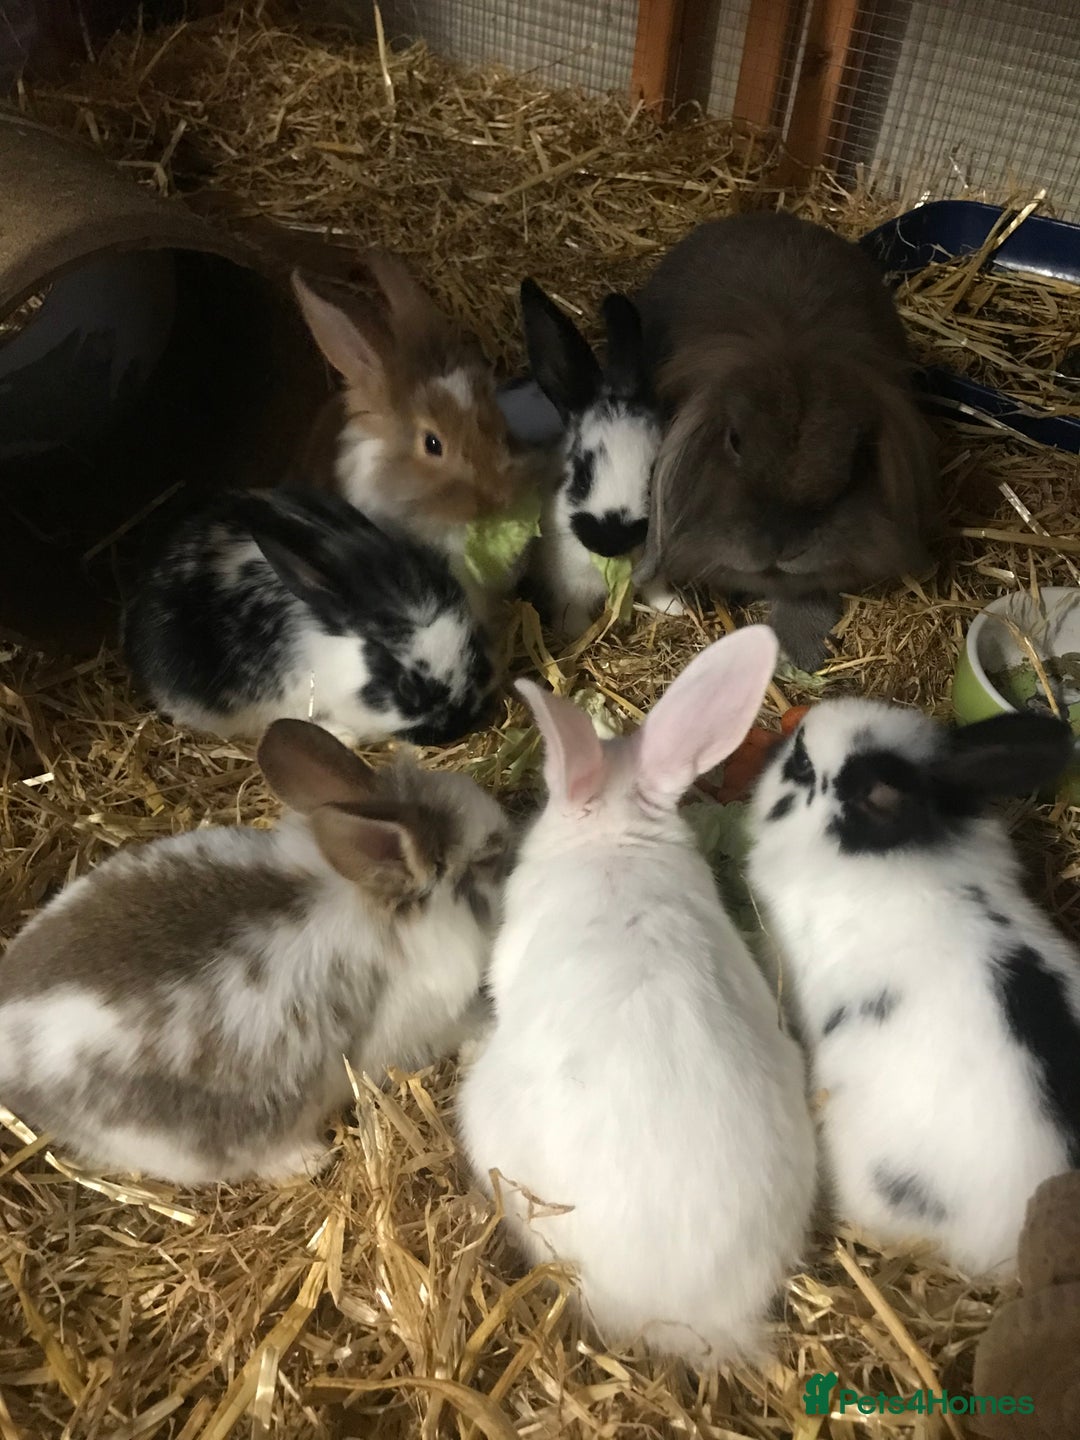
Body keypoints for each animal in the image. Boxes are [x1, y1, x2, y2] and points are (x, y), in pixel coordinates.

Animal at [518, 278, 684, 638]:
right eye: (581, 474)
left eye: (653, 478)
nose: (610, 541)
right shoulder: (567, 586)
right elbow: (572, 612)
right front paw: (575, 634)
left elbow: (656, 591)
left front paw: (675, 608)